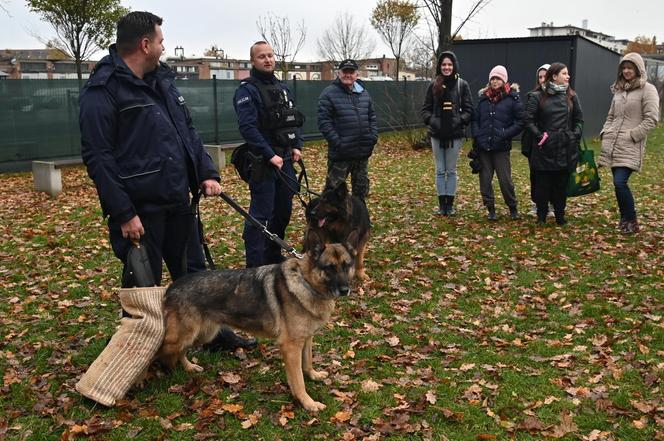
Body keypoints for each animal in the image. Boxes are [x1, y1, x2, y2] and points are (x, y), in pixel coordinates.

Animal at [156, 230, 358, 412]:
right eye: (329, 267)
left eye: (346, 265)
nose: (345, 290)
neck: (306, 282)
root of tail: (171, 287)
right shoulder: (290, 347)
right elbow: (299, 379)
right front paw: (307, 402)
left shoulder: (306, 338)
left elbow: (307, 363)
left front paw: (313, 376)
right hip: (183, 337)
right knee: (163, 349)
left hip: (203, 334)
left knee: (182, 351)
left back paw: (189, 367)